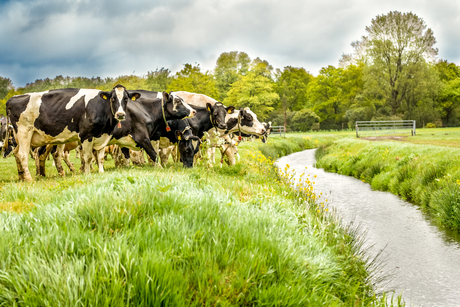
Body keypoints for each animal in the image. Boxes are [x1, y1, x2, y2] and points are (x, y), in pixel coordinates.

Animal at [4, 85, 140, 182]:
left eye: (126, 99)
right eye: (113, 99)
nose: (120, 114)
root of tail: (12, 99)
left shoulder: (102, 137)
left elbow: (100, 158)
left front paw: (101, 173)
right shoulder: (86, 136)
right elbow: (88, 157)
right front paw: (87, 173)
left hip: (20, 137)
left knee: (17, 153)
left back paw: (22, 177)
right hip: (24, 132)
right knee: (23, 155)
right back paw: (28, 179)